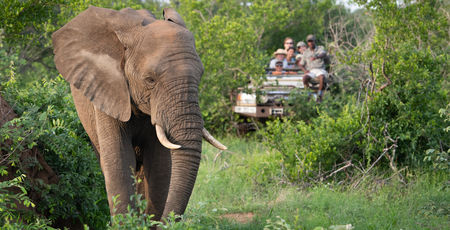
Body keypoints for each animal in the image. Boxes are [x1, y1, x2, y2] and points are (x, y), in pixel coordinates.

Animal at [51, 6, 227, 220]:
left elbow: (160, 167)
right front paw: (129, 222)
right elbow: (118, 163)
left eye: (200, 76)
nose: (168, 221)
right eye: (150, 80)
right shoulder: (107, 90)